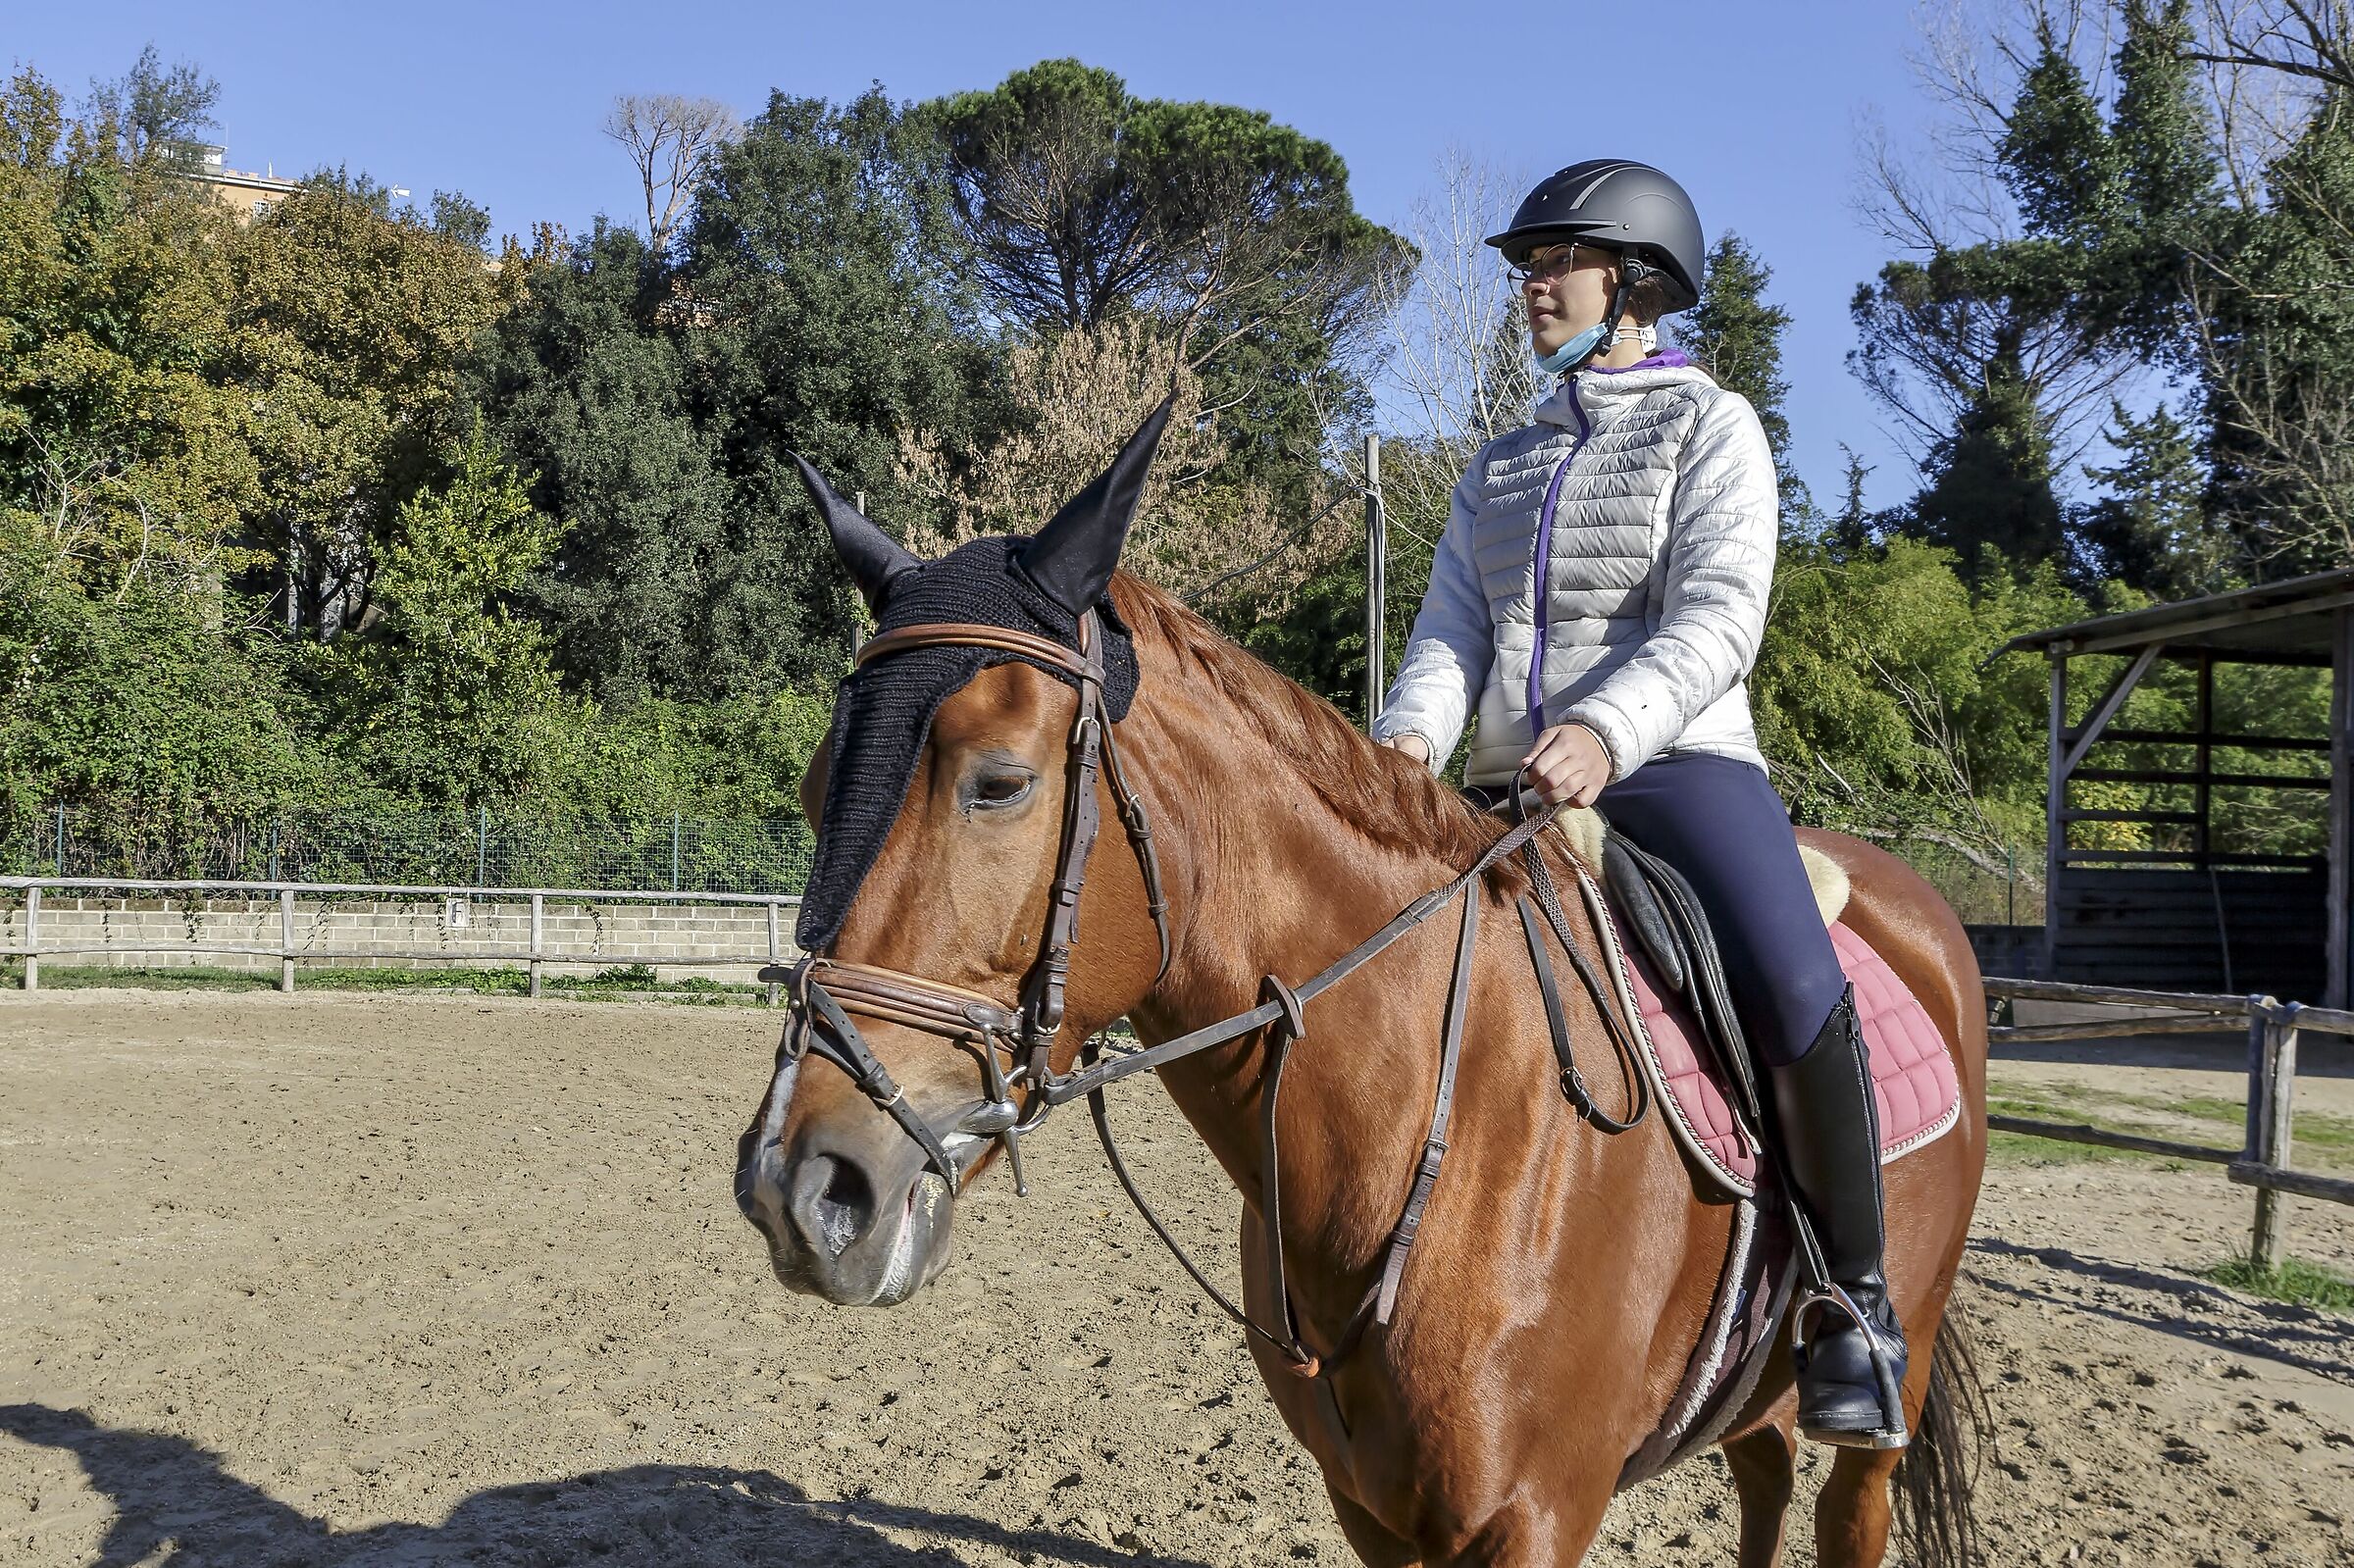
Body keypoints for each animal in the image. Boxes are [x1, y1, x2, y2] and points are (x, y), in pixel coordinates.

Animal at [735, 422, 1989, 1568]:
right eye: (811, 792)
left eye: (999, 784)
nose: (803, 1191)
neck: (1449, 1116)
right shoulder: (1374, 1509)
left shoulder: (1538, 1518)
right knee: (1764, 1470)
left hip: (1898, 1359)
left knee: (1844, 1506)